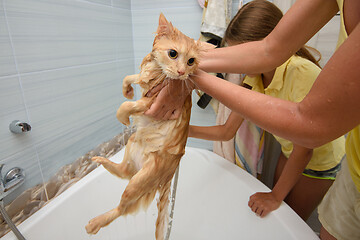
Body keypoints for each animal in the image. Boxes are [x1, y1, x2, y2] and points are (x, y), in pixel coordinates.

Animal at [84, 13, 214, 240]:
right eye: (173, 54)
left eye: (191, 61)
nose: (182, 72)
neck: (158, 72)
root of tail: (170, 173)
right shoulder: (146, 85)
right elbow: (130, 78)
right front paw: (127, 89)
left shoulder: (152, 101)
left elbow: (127, 105)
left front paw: (123, 116)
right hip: (132, 145)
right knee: (122, 172)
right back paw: (103, 161)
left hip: (139, 181)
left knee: (122, 207)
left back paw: (96, 222)